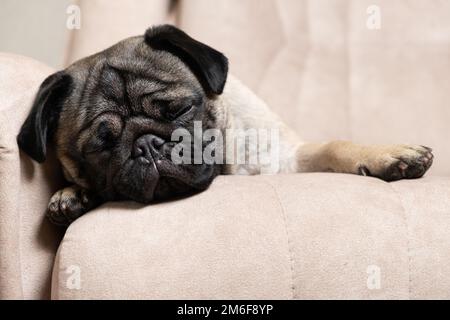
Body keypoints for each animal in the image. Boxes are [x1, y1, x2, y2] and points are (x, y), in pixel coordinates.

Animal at [16, 25, 432, 226]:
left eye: (178, 110)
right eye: (101, 146)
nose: (148, 145)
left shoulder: (285, 158)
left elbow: (334, 146)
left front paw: (389, 156)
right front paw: (71, 194)